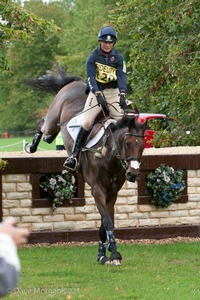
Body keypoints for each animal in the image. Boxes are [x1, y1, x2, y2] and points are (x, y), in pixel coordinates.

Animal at [24, 69, 147, 266]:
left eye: (143, 145)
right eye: (127, 143)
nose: (133, 173)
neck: (108, 158)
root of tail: (77, 83)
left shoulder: (112, 193)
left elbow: (105, 223)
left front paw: (102, 254)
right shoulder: (97, 190)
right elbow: (108, 221)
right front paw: (114, 254)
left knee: (49, 134)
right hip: (54, 117)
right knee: (44, 124)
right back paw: (30, 146)